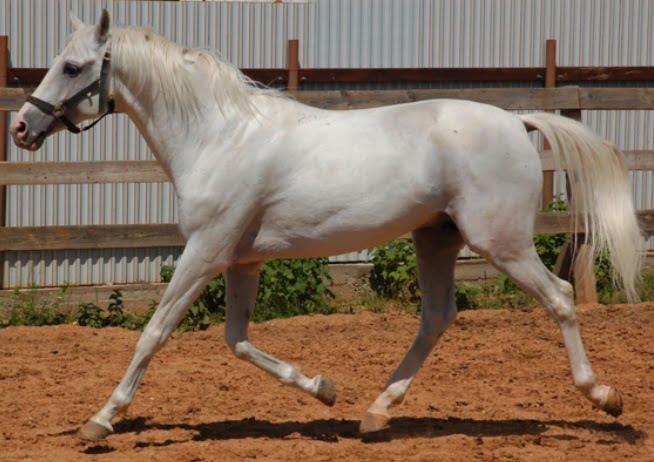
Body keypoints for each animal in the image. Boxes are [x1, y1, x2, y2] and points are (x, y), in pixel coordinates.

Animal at [10, 10, 644, 441]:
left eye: (72, 66)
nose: (20, 126)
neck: (219, 136)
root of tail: (517, 121)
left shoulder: (206, 251)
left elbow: (155, 332)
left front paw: (100, 419)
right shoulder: (243, 259)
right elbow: (237, 340)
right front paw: (323, 389)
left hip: (500, 242)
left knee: (560, 297)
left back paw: (604, 396)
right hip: (436, 237)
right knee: (437, 316)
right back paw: (376, 412)